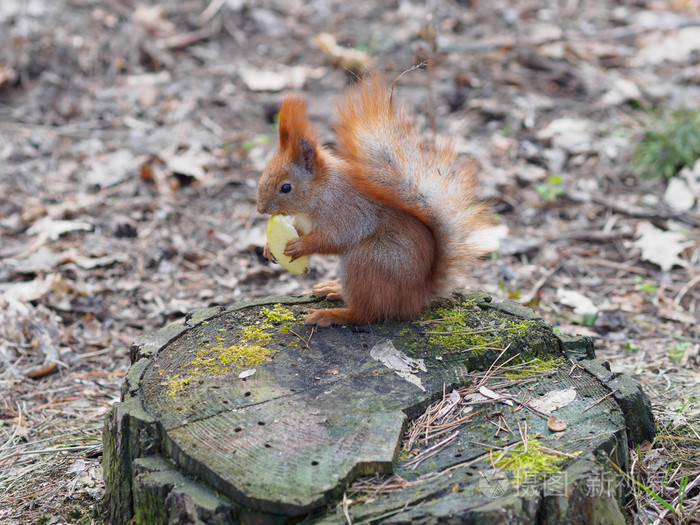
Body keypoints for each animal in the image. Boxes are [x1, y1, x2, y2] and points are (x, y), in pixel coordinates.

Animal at [254, 75, 490, 326]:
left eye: (286, 187)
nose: (260, 209)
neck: (320, 192)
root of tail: (417, 295)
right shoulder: (305, 220)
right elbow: (300, 229)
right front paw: (268, 248)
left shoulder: (347, 212)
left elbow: (333, 239)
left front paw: (301, 245)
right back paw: (334, 289)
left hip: (369, 260)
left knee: (365, 313)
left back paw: (331, 314)